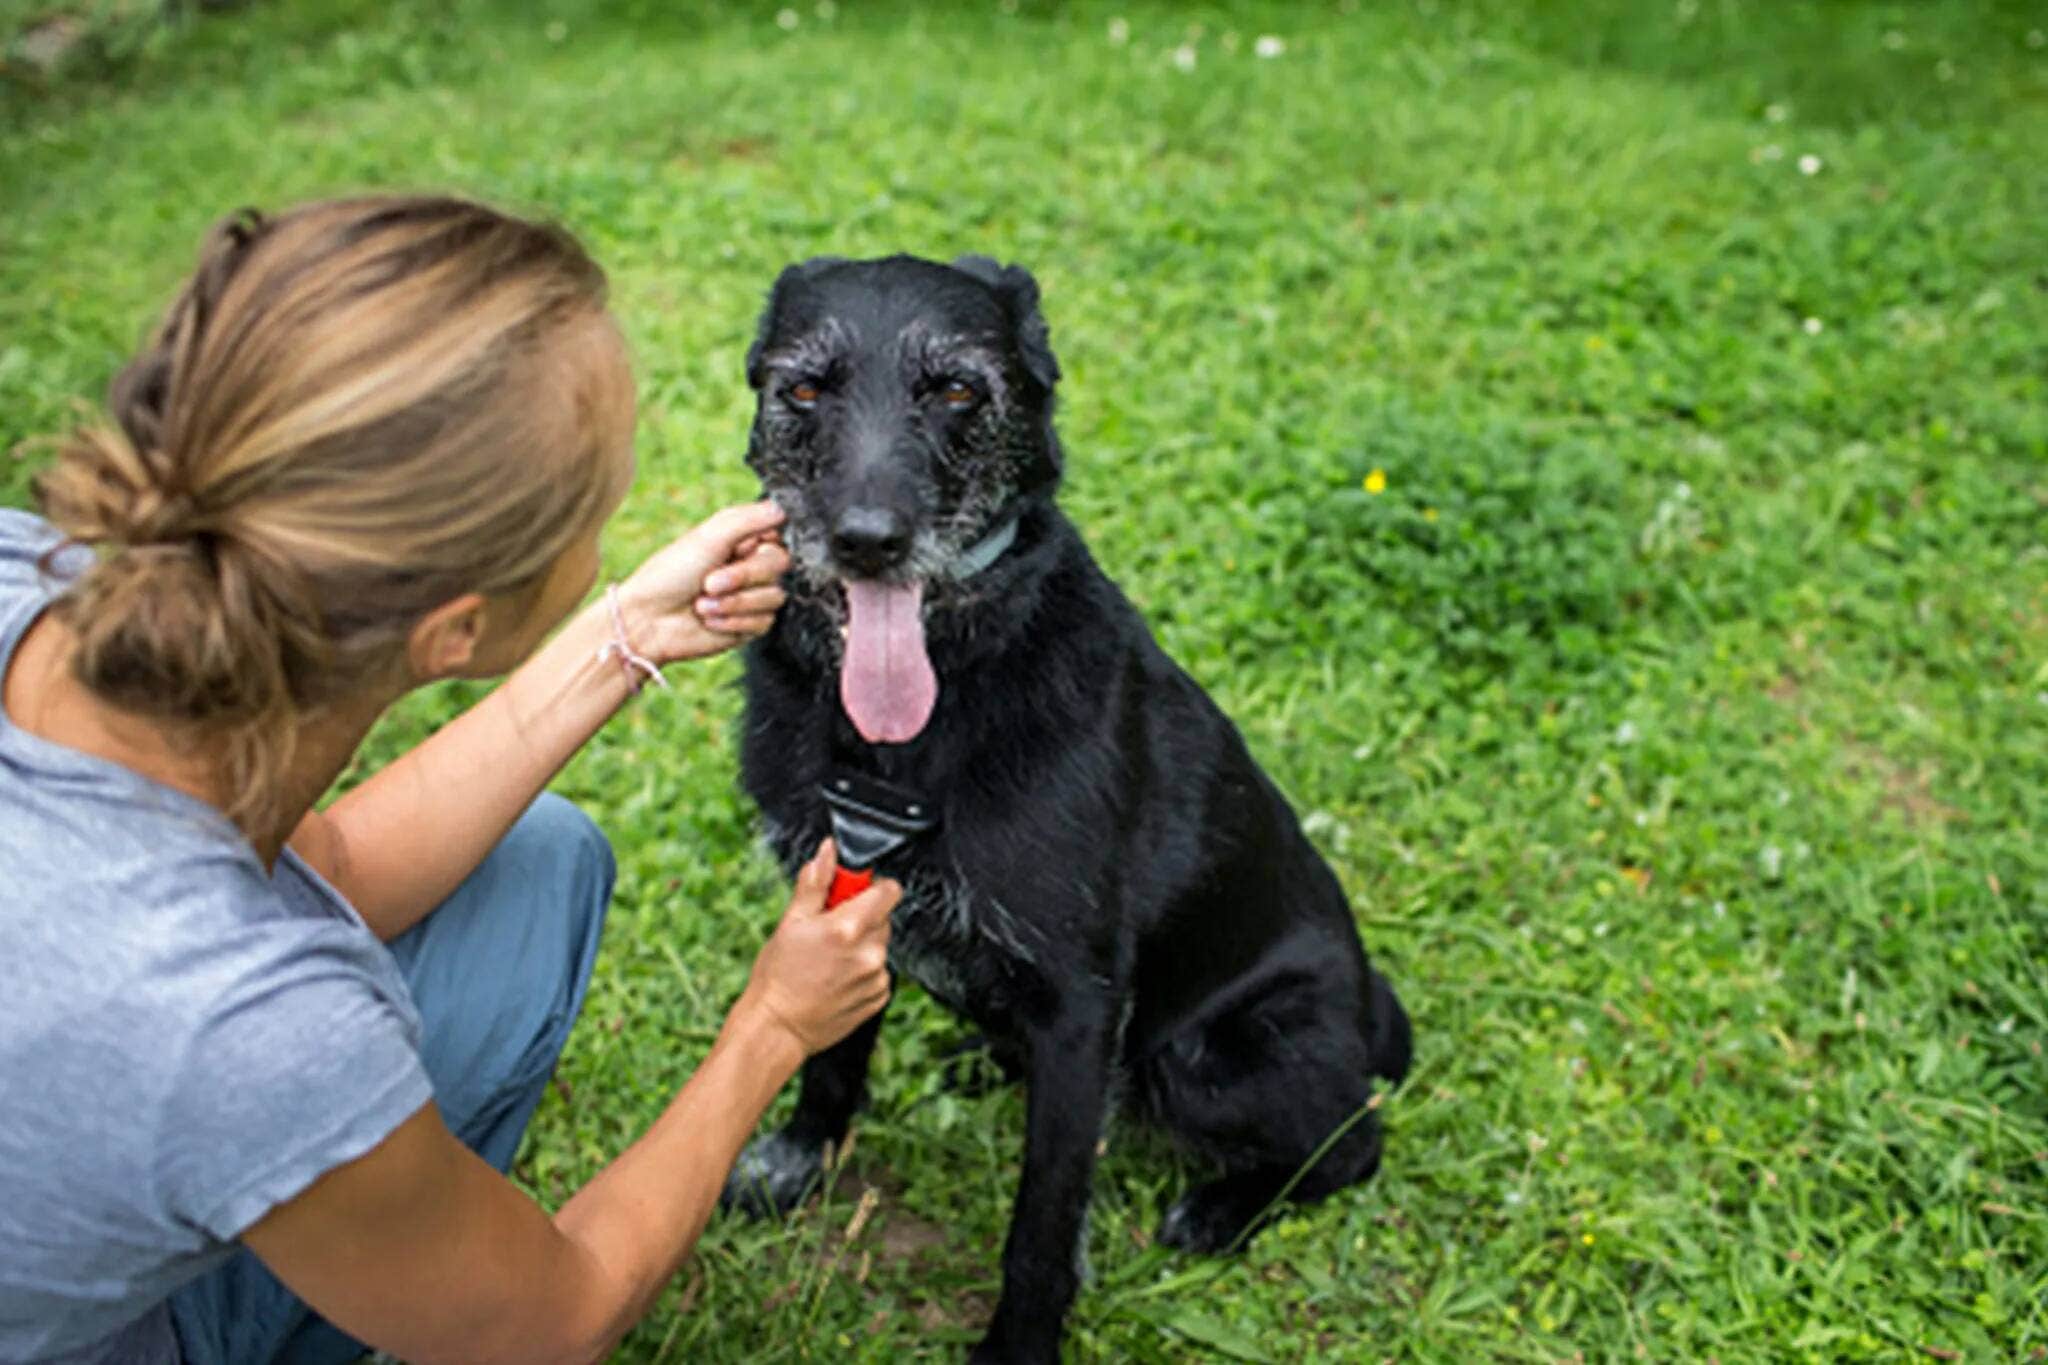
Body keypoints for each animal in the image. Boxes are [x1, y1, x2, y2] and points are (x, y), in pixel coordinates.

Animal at [720, 253, 1409, 1358]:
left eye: (958, 391)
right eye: (806, 390)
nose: (868, 543)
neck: (903, 742)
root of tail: (1367, 1007)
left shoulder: (1082, 1007)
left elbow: (1043, 1218)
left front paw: (1018, 1344)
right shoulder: (839, 909)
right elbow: (826, 1060)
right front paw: (796, 1160)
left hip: (1206, 1057)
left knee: (1354, 1139)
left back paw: (1224, 1207)